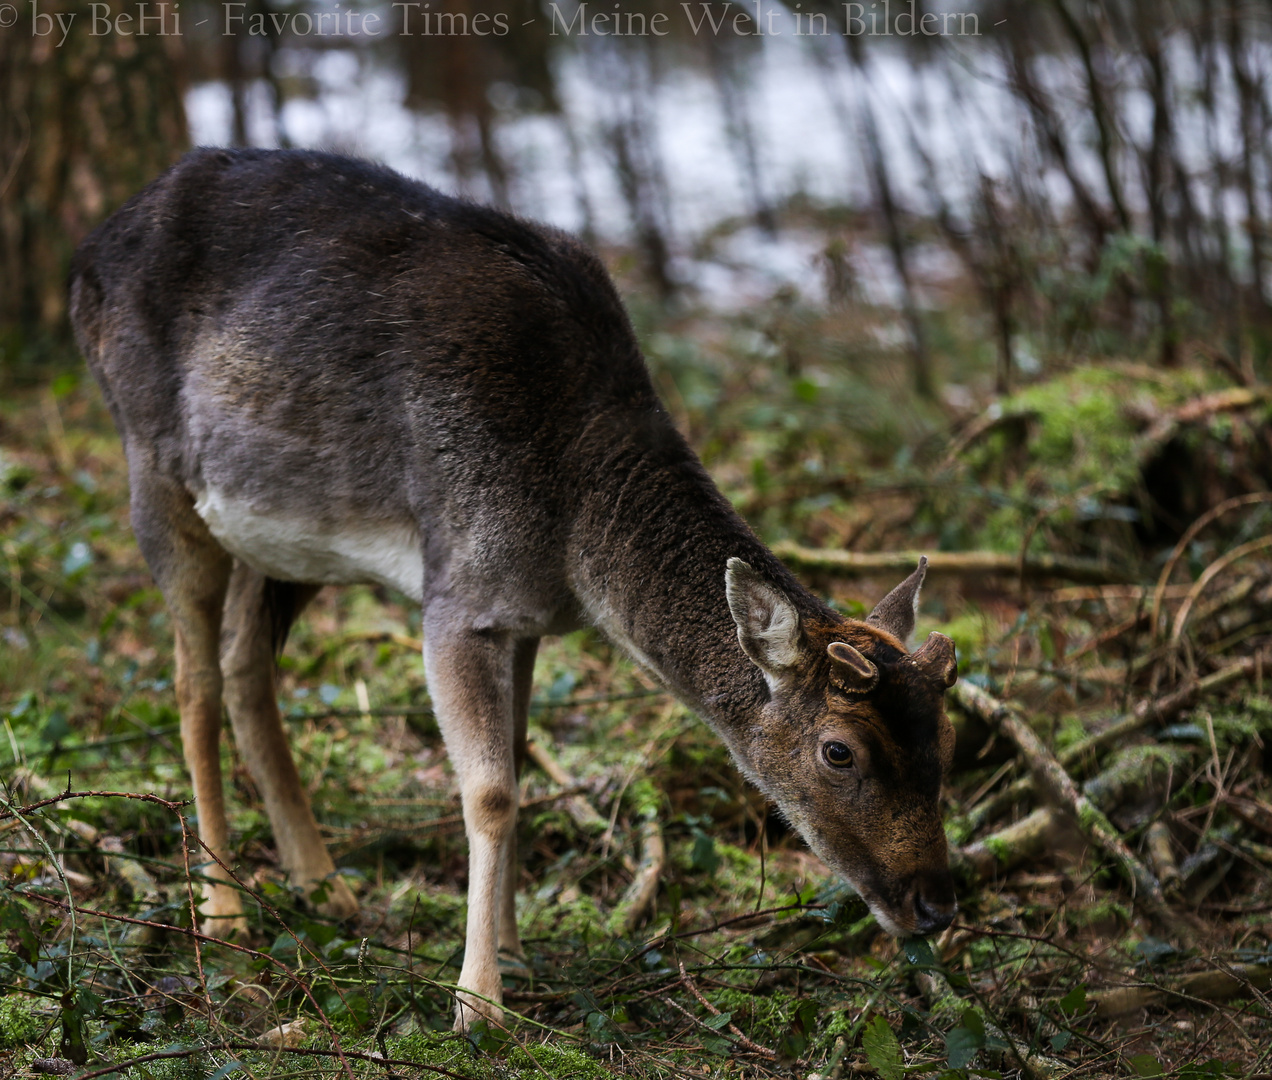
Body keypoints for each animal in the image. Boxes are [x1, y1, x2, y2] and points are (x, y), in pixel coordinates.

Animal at [69, 145, 956, 1027]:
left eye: (946, 739)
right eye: (838, 751)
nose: (936, 905)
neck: (571, 531)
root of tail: (88, 254)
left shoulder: (524, 614)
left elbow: (520, 771)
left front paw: (518, 953)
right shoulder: (458, 599)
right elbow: (489, 791)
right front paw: (477, 1004)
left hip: (281, 543)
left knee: (248, 669)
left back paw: (324, 885)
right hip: (153, 467)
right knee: (193, 681)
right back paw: (224, 916)